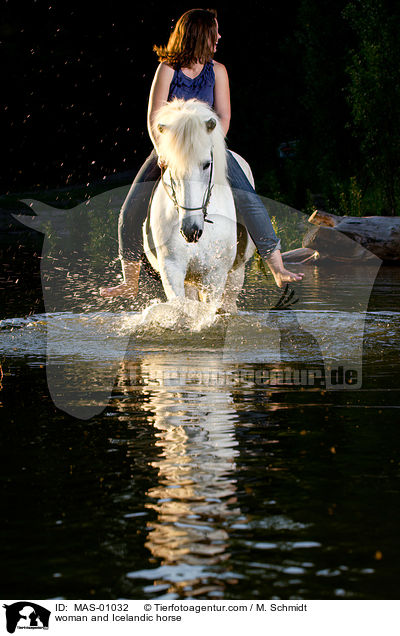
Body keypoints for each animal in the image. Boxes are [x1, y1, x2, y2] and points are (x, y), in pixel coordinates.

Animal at [144, 98, 255, 314]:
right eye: (169, 165)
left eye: (206, 164)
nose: (191, 231)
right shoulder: (172, 268)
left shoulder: (215, 274)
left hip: (235, 275)